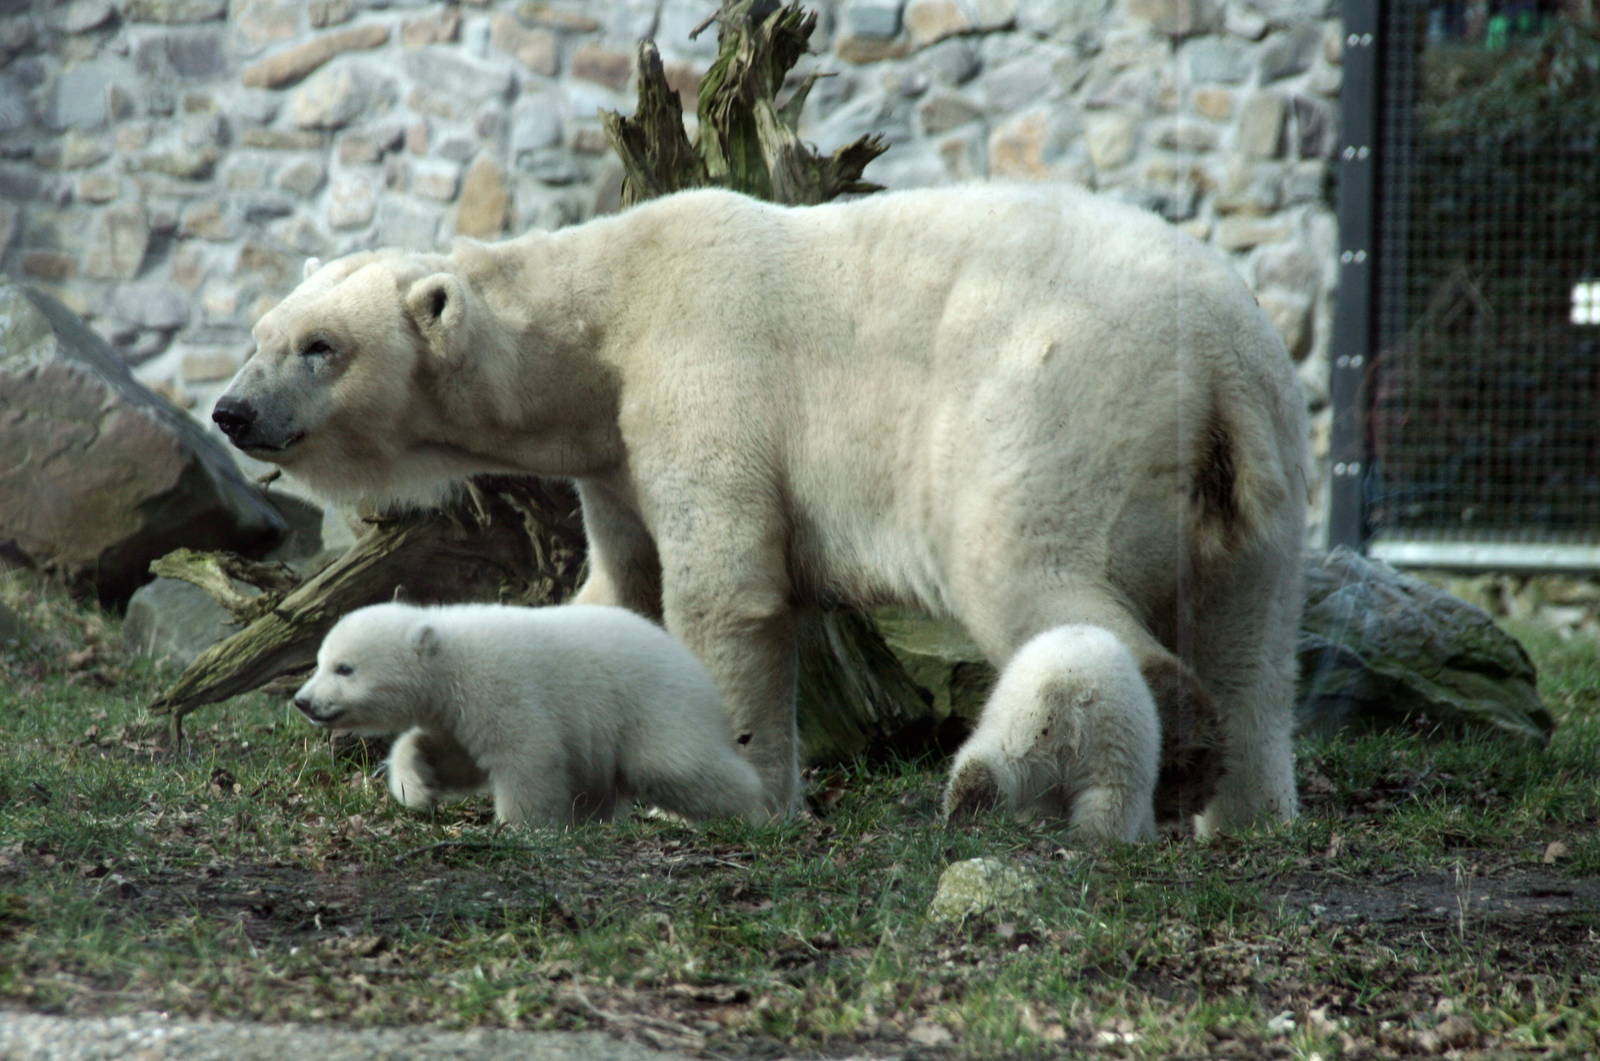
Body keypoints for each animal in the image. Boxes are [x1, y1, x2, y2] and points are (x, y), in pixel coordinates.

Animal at [292, 601, 767, 827]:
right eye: (319, 661)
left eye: (344, 667)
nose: (303, 701)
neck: (451, 657)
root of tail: (698, 673)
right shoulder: (457, 711)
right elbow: (452, 757)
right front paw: (418, 788)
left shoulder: (502, 685)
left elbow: (527, 755)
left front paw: (517, 826)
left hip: (656, 706)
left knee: (676, 765)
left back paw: (756, 814)